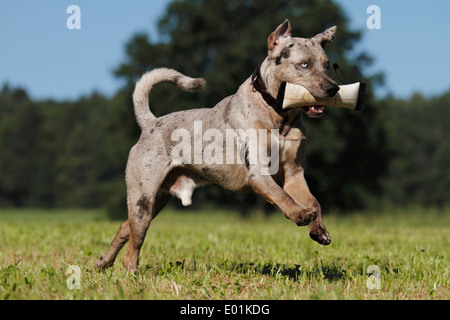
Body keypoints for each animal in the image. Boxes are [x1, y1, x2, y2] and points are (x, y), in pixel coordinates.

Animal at [96, 19, 340, 272]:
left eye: (327, 65)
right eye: (304, 64)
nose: (334, 88)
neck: (279, 115)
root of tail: (150, 123)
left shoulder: (294, 173)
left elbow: (313, 201)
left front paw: (319, 230)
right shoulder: (258, 172)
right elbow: (281, 195)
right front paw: (299, 214)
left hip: (158, 199)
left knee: (125, 227)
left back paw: (103, 262)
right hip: (143, 198)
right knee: (133, 245)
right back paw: (130, 271)